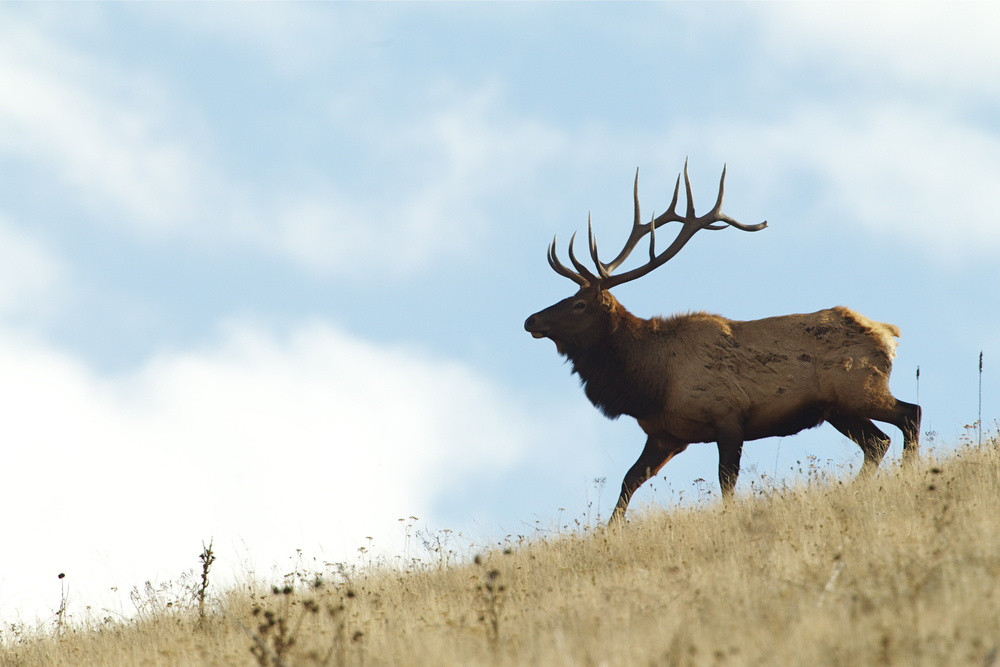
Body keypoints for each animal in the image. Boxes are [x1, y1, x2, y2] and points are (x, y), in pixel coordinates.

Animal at [524, 163, 920, 528]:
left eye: (579, 304)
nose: (531, 320)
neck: (651, 381)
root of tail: (889, 334)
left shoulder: (728, 415)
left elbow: (726, 482)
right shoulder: (666, 434)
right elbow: (629, 480)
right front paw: (609, 531)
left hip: (861, 389)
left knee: (909, 414)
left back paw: (908, 473)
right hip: (839, 408)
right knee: (877, 442)